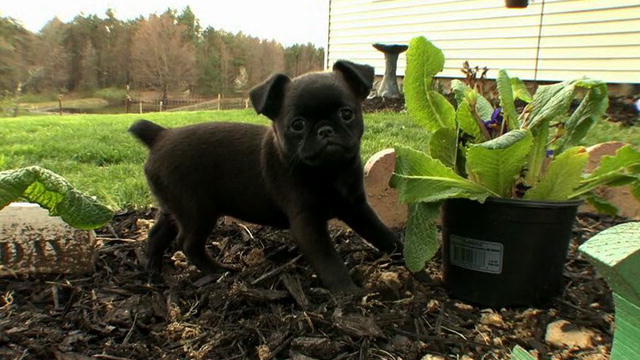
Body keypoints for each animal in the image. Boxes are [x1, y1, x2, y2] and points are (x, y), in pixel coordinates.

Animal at [129, 59, 398, 292]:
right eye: (297, 125)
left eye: (346, 114)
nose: (325, 130)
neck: (329, 171)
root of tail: (161, 136)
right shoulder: (307, 222)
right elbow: (328, 260)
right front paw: (348, 292)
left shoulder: (356, 208)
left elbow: (380, 232)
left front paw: (402, 253)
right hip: (197, 211)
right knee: (189, 244)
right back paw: (219, 271)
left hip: (175, 207)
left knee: (158, 233)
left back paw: (153, 270)